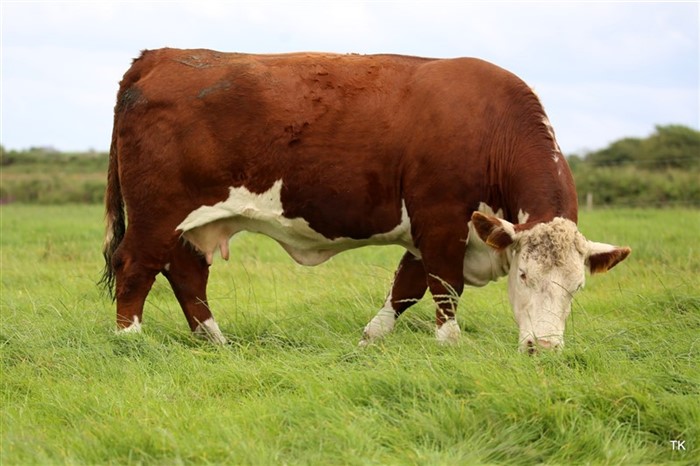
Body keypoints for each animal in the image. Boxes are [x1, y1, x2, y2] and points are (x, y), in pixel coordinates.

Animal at [101, 49, 632, 352]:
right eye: (524, 277)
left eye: (577, 287)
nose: (544, 348)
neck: (491, 128)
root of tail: (160, 55)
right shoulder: (441, 219)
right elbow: (445, 286)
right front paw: (448, 345)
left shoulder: (431, 231)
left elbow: (407, 286)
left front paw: (370, 339)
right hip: (157, 212)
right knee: (136, 266)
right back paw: (129, 340)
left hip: (188, 222)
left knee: (185, 272)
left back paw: (216, 342)